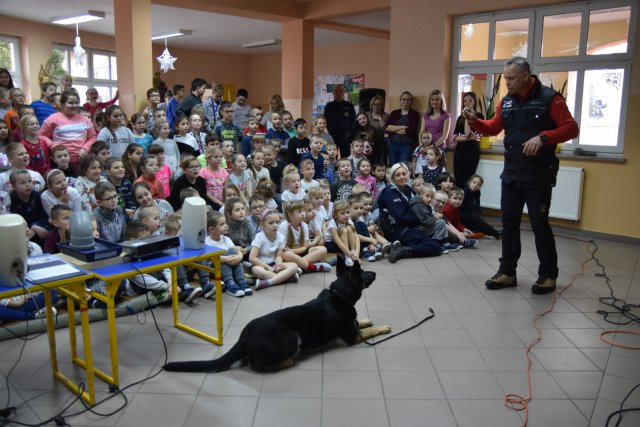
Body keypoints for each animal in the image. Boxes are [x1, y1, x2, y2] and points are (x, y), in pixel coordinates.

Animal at [161, 258, 390, 372]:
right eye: (365, 274)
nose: (376, 273)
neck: (339, 295)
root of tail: (244, 338)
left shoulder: (353, 326)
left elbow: (361, 322)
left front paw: (366, 319)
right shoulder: (352, 338)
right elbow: (370, 331)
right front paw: (384, 327)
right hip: (292, 337)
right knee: (257, 365)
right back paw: (285, 362)